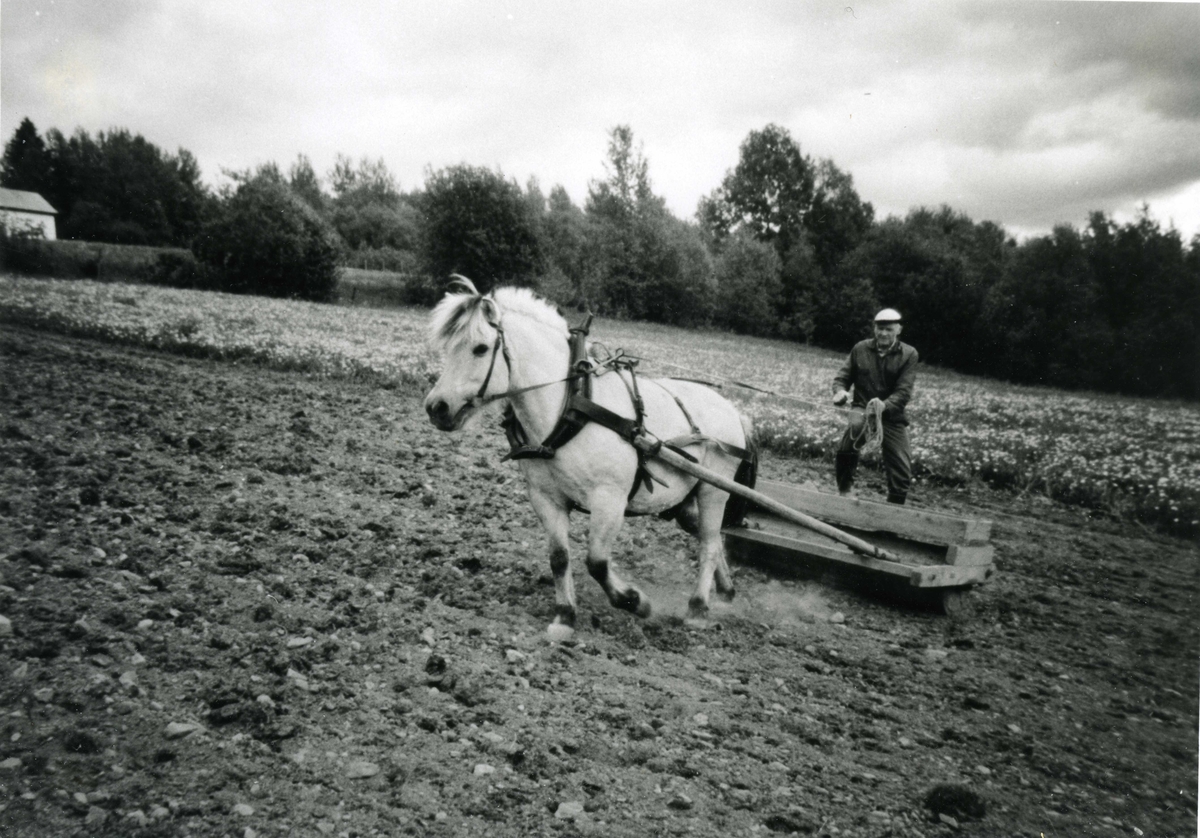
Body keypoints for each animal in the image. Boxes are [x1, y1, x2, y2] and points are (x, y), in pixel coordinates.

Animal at [424, 277, 758, 638]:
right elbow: (559, 557)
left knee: (708, 543)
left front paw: (636, 602)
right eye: (449, 347)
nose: (436, 407)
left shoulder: (609, 499)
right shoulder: (546, 497)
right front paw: (564, 616)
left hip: (714, 490)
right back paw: (725, 592)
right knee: (711, 537)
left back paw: (697, 608)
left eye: (480, 348)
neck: (570, 405)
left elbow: (597, 562)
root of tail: (732, 410)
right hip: (684, 501)